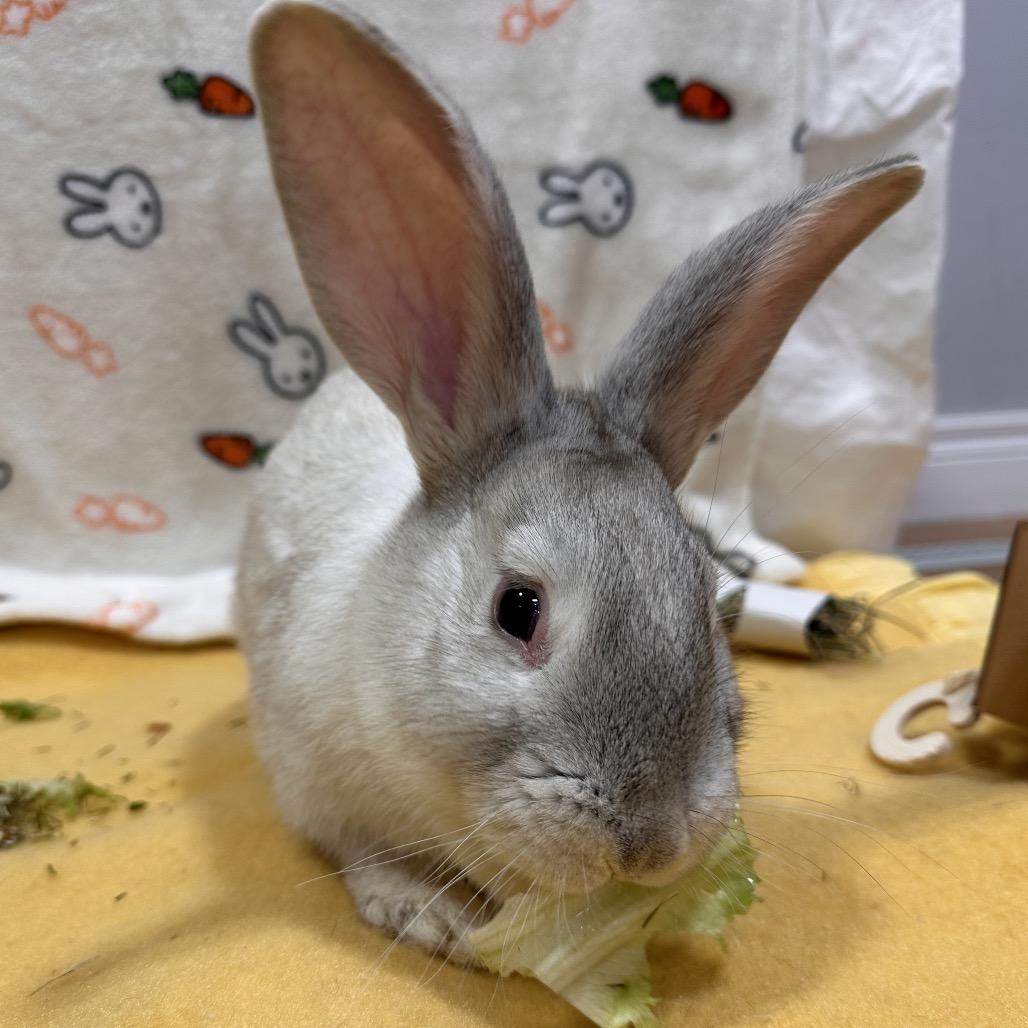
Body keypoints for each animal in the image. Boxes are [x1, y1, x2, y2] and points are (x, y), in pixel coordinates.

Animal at [236, 0, 923, 965]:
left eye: (712, 601)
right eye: (516, 609)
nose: (652, 845)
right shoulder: (313, 776)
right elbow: (361, 853)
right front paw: (427, 912)